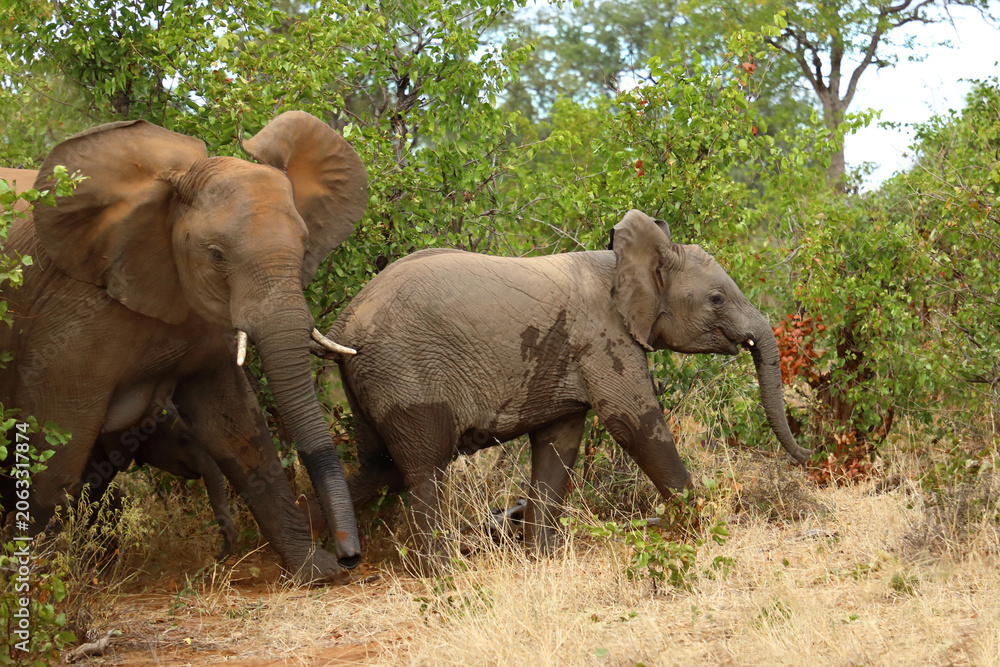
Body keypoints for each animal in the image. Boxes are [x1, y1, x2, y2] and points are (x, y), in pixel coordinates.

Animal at [0, 111, 368, 581]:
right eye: (215, 255)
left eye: (304, 246)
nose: (350, 556)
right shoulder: (67, 316)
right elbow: (55, 446)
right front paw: (36, 585)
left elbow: (237, 430)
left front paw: (315, 571)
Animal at [317, 210, 810, 564]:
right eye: (717, 299)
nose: (808, 455)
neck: (623, 262)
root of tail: (345, 320)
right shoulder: (603, 338)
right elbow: (633, 422)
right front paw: (701, 533)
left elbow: (560, 441)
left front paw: (543, 558)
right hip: (404, 371)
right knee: (424, 468)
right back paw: (440, 573)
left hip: (372, 379)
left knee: (380, 466)